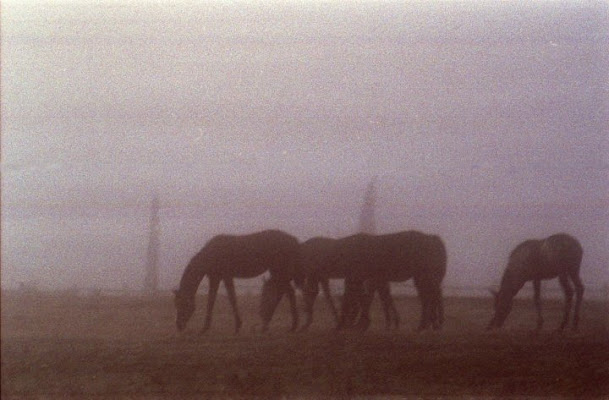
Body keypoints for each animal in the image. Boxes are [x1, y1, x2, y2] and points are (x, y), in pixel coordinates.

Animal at [173, 230, 302, 332]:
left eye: (182, 304)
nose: (179, 325)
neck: (210, 255)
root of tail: (294, 240)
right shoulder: (215, 278)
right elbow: (211, 300)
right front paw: (206, 327)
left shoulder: (226, 276)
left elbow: (231, 298)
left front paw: (237, 325)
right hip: (277, 271)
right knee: (286, 292)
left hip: (279, 270)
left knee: (287, 292)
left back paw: (290, 325)